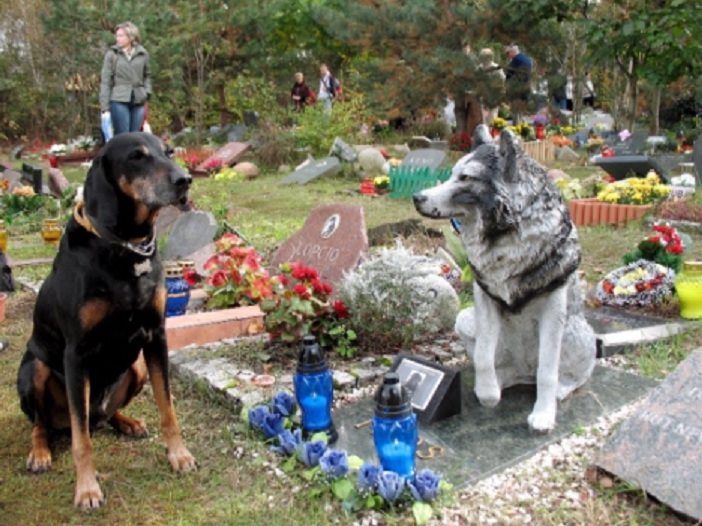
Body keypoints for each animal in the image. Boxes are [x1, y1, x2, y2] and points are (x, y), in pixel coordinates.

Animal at [17, 132, 198, 512]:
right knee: (49, 423)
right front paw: (87, 489)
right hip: (35, 368)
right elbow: (81, 441)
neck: (127, 246)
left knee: (100, 417)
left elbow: (168, 408)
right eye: (137, 157)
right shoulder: (76, 353)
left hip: (136, 368)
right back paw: (40, 453)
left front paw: (179, 455)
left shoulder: (156, 336)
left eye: (169, 152)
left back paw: (128, 422)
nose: (184, 180)